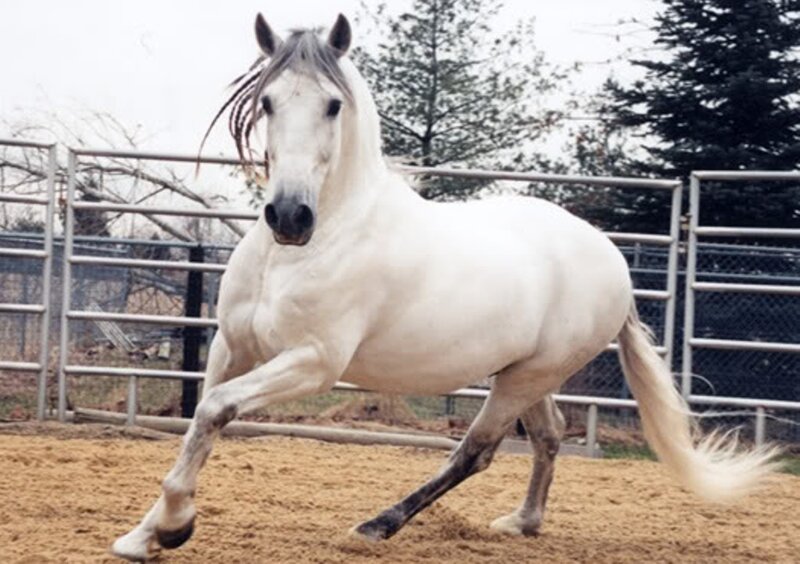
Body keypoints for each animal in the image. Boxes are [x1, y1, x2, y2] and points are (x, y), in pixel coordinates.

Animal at [112, 14, 777, 561]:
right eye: (269, 101)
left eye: (332, 105)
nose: (290, 217)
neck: (309, 247)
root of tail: (611, 259)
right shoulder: (232, 346)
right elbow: (200, 421)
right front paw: (147, 534)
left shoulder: (313, 363)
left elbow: (215, 412)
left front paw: (172, 528)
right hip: (524, 373)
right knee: (549, 436)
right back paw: (522, 523)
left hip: (523, 379)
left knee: (477, 450)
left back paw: (378, 526)